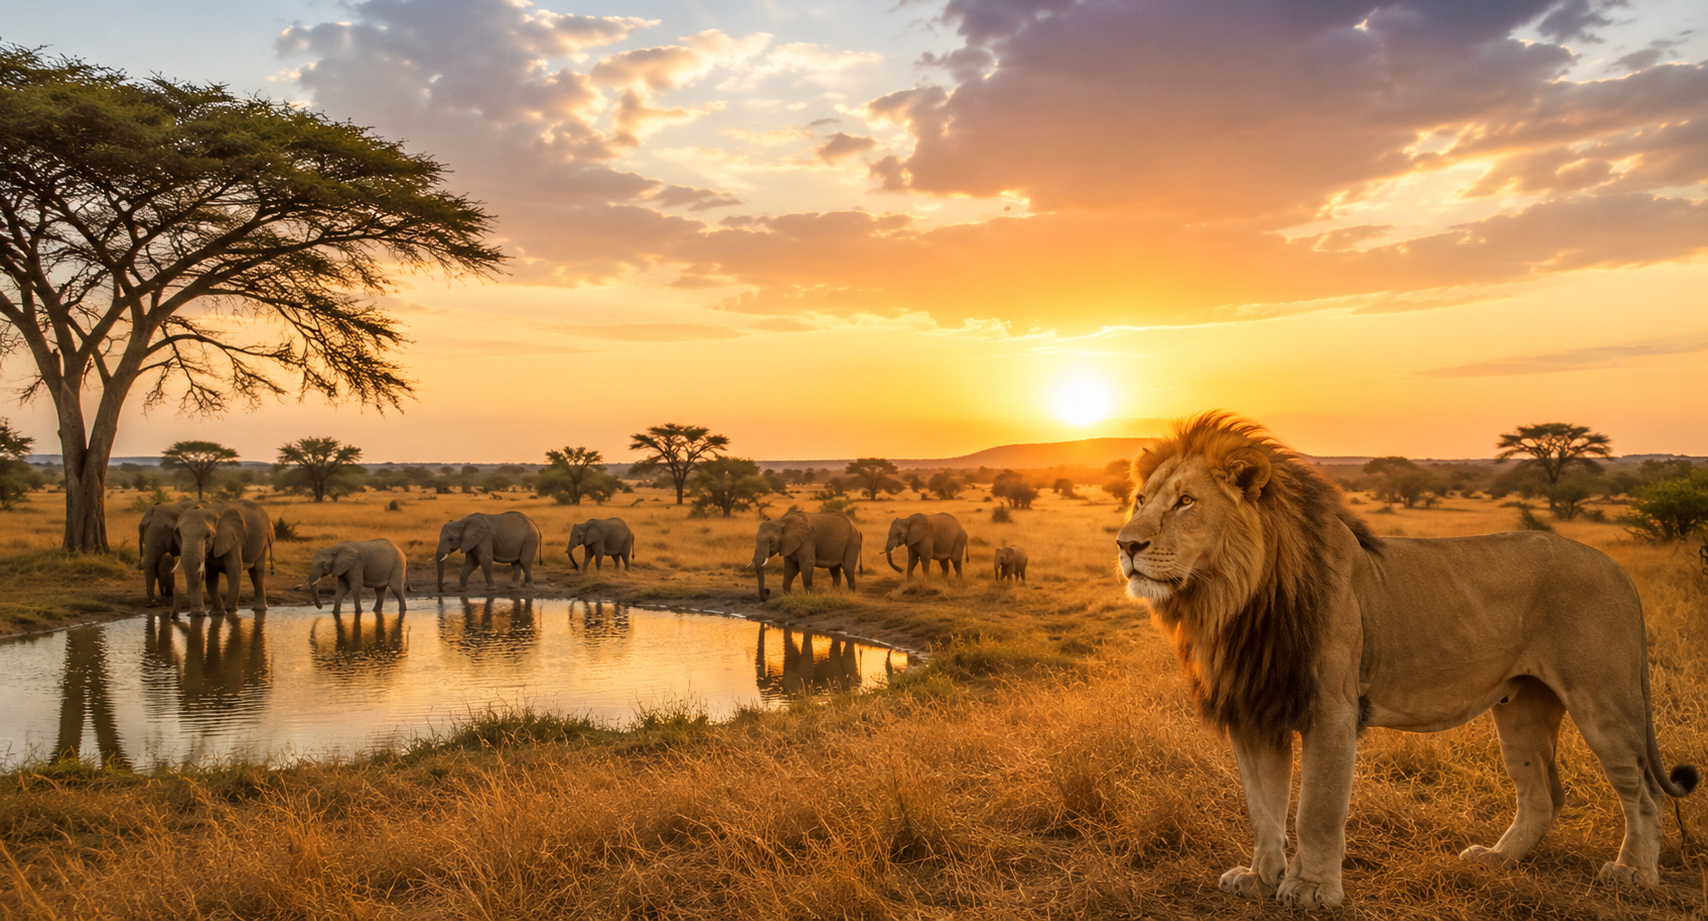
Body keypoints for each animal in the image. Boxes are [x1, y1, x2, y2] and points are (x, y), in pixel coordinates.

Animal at [1114, 413, 1696, 909]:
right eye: (1140, 499)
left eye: (1185, 502)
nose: (1125, 544)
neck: (1234, 601)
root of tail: (1617, 569)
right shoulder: (1256, 710)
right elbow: (1263, 807)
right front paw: (1260, 879)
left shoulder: (1332, 710)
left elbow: (1316, 809)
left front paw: (1310, 888)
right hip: (1523, 705)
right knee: (1543, 794)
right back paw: (1496, 860)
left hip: (1604, 701)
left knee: (1643, 790)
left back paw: (1634, 873)